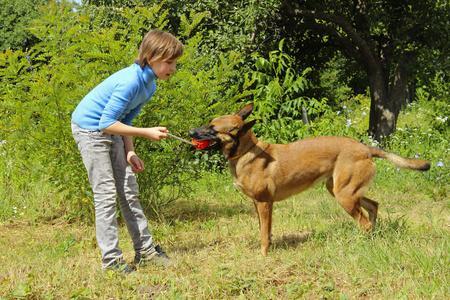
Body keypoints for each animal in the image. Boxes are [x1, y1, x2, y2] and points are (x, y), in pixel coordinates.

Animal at [188, 103, 430, 255]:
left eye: (212, 129)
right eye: (209, 124)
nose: (190, 132)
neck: (247, 152)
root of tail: (365, 148)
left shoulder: (264, 203)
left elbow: (264, 234)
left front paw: (264, 255)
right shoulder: (259, 205)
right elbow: (265, 230)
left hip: (345, 196)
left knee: (365, 222)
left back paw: (363, 243)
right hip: (344, 191)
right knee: (373, 207)